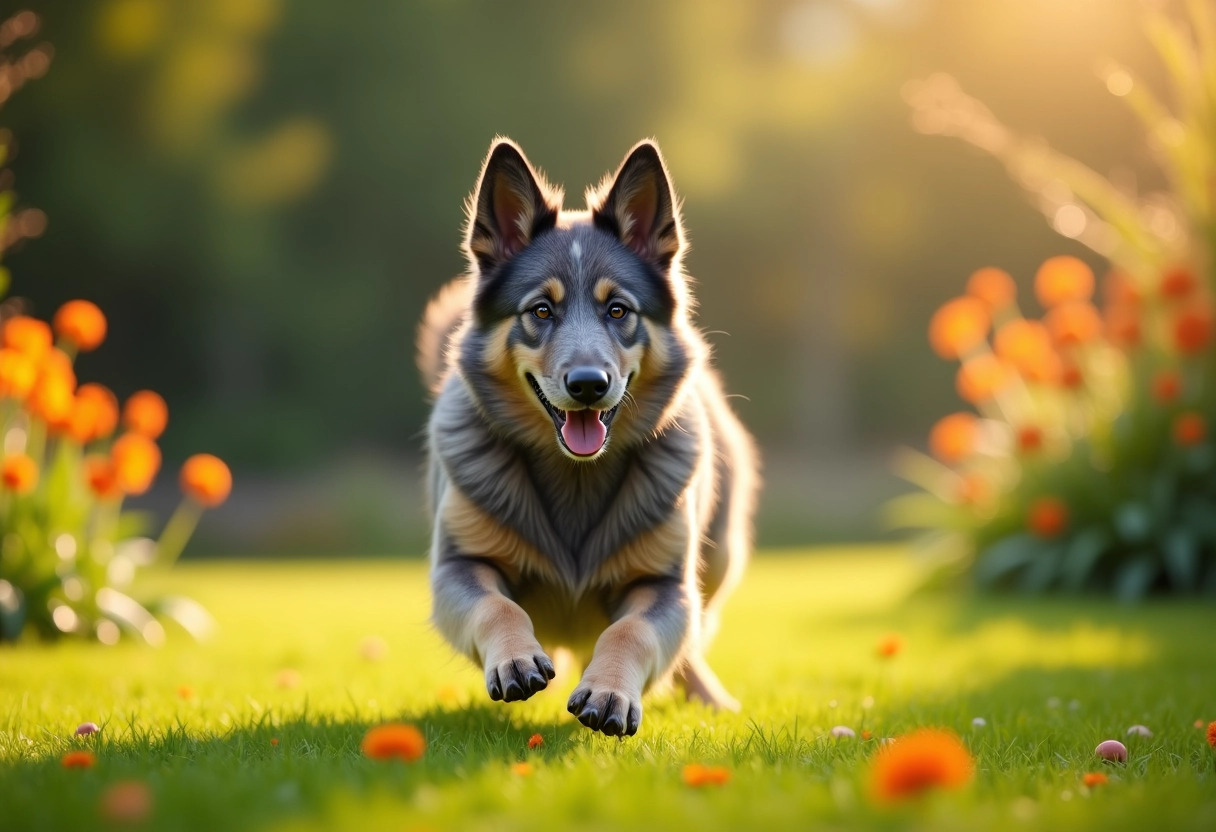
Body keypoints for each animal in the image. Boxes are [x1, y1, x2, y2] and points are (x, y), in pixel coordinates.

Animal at [420, 138, 758, 739]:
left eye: (617, 310)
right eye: (541, 310)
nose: (587, 385)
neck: (574, 477)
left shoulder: (665, 585)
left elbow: (632, 631)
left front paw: (610, 690)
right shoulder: (457, 567)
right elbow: (497, 607)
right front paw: (515, 658)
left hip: (718, 560)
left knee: (693, 640)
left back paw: (707, 696)